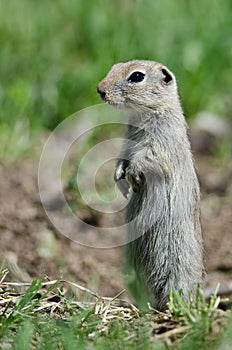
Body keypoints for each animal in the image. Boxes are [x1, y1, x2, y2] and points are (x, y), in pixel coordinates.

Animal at [97, 59, 204, 308]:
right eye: (114, 66)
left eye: (137, 76)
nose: (100, 90)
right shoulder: (128, 140)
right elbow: (123, 157)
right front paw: (121, 180)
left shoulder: (162, 141)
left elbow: (147, 157)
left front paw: (132, 176)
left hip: (176, 260)